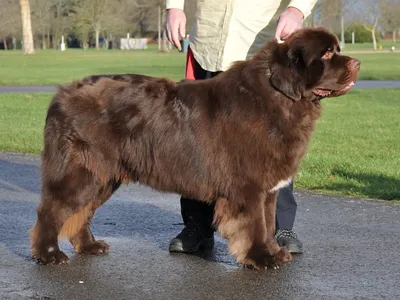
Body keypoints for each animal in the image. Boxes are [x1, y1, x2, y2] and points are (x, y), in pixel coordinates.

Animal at [30, 27, 360, 270]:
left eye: (337, 49)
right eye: (326, 53)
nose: (357, 63)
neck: (278, 99)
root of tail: (60, 95)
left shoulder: (268, 188)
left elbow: (268, 223)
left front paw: (274, 251)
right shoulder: (248, 186)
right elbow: (255, 223)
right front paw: (261, 258)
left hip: (103, 176)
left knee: (81, 212)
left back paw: (89, 246)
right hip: (81, 172)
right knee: (51, 209)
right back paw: (48, 254)